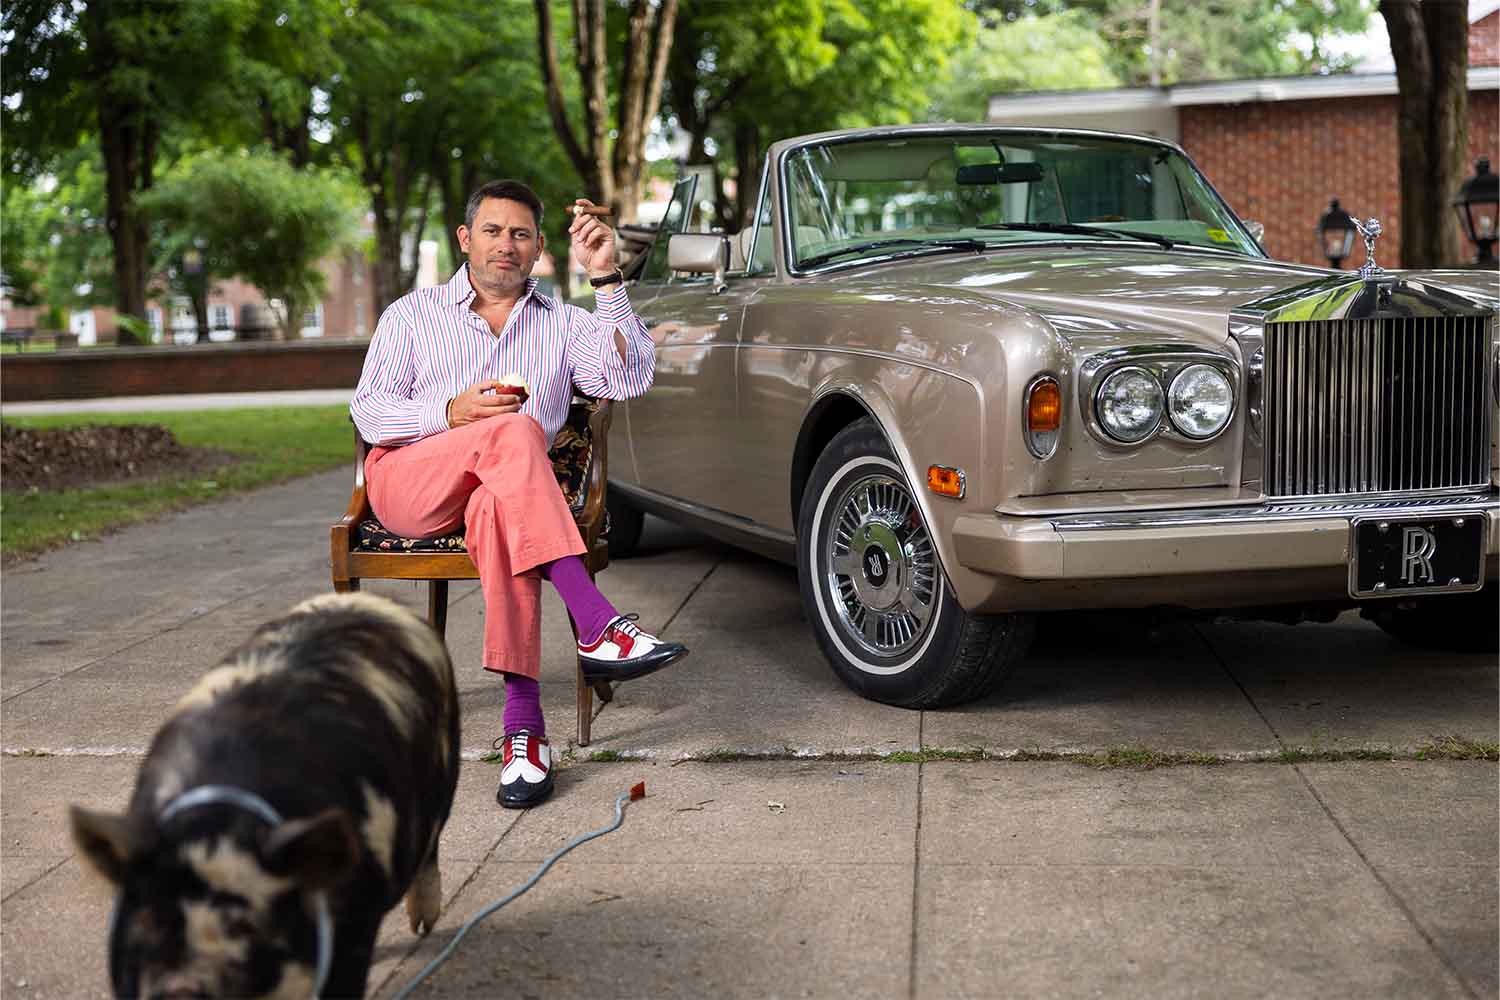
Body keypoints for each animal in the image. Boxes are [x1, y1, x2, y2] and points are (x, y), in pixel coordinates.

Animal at [67, 593, 462, 1000]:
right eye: (148, 920)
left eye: (249, 929)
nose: (181, 989)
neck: (218, 822)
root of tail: (372, 600)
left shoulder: (355, 917)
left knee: (431, 842)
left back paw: (423, 925)